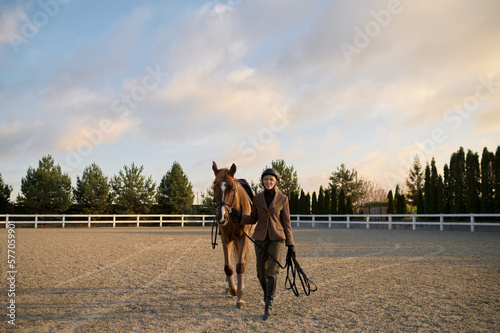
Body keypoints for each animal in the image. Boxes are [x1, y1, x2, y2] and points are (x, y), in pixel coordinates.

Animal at [211, 161, 254, 308]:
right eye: (214, 188)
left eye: (232, 188)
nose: (221, 217)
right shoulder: (225, 238)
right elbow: (228, 267)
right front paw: (233, 289)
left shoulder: (243, 238)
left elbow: (240, 266)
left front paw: (240, 297)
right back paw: (228, 287)